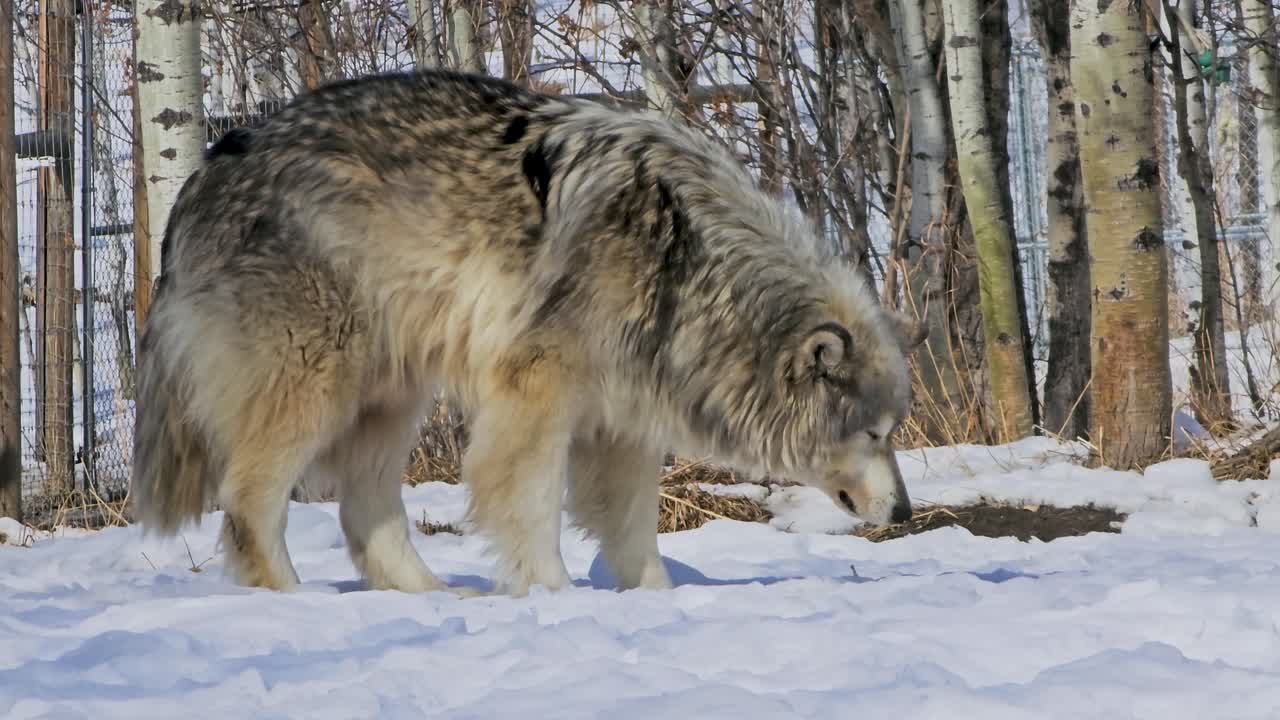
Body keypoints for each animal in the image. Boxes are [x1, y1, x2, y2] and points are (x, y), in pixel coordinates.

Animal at [129, 68, 927, 597]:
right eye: (875, 433)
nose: (906, 511)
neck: (688, 268)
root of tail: (200, 177)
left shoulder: (624, 420)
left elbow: (633, 530)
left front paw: (655, 606)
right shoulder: (536, 400)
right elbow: (530, 507)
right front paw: (554, 598)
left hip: (390, 400)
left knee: (363, 511)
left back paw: (431, 600)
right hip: (315, 387)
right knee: (249, 504)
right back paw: (298, 604)